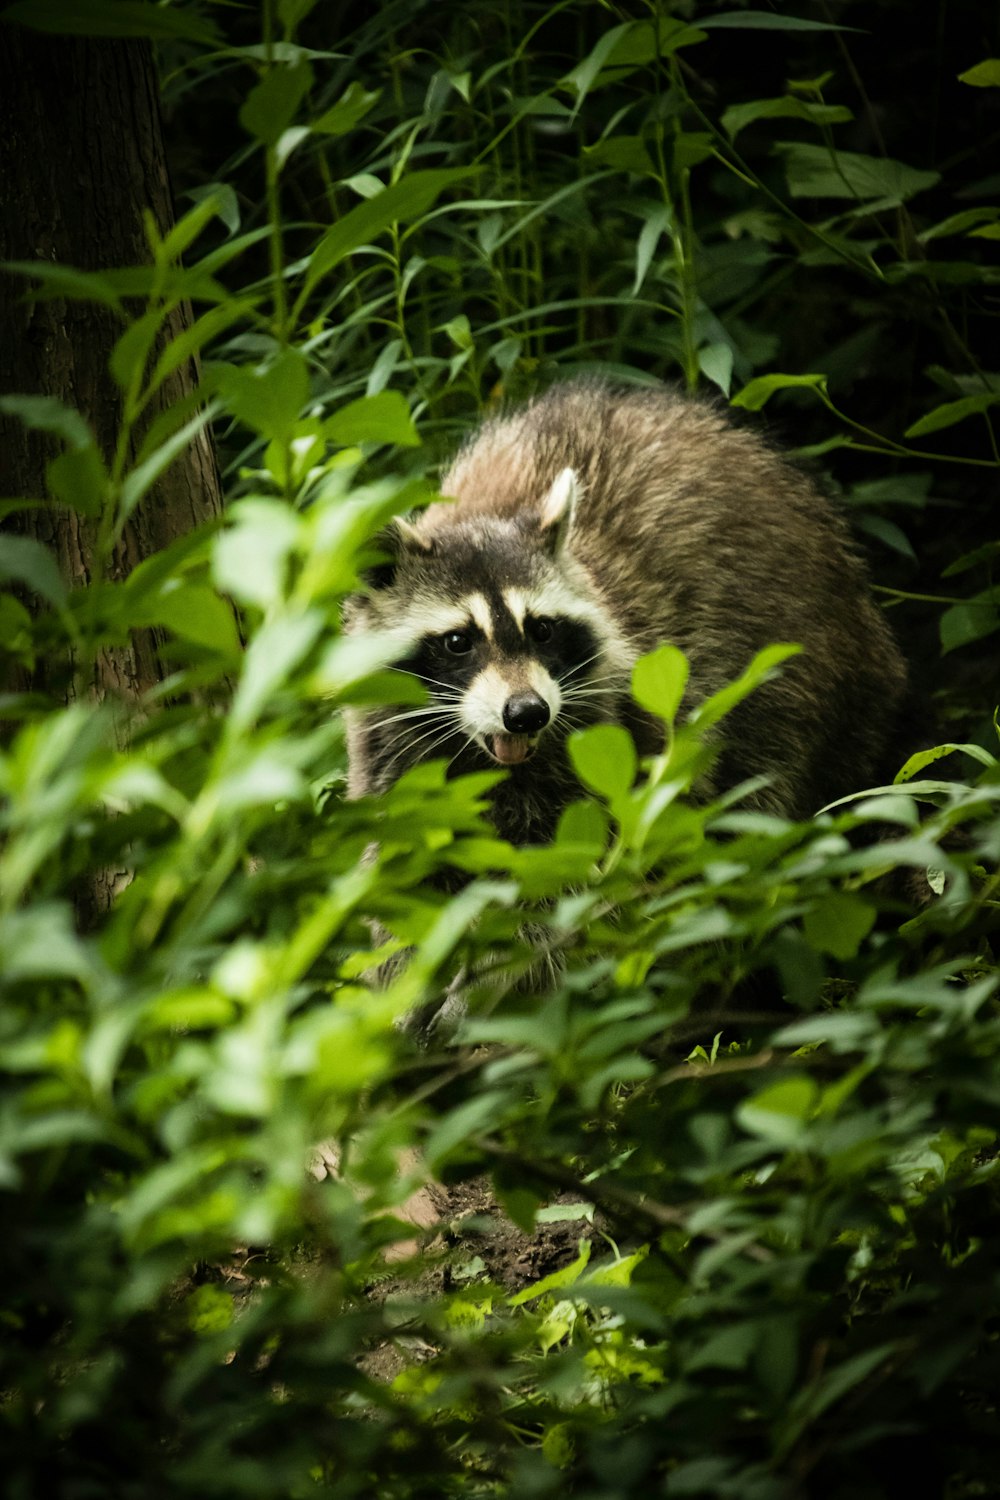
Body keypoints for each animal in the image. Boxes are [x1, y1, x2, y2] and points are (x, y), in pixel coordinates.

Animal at [346, 375, 905, 846]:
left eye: (542, 629)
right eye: (458, 641)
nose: (527, 713)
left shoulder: (624, 738)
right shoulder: (391, 756)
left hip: (799, 663)